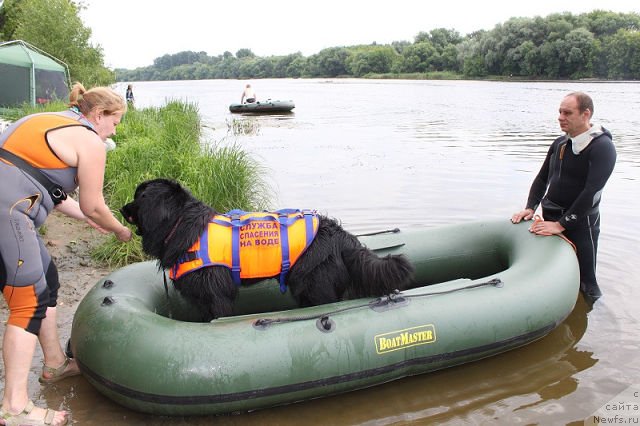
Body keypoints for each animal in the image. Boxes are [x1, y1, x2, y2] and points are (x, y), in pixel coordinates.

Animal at [119, 178, 416, 322]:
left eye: (137, 197)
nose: (121, 209)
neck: (181, 225)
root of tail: (343, 236)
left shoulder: (216, 295)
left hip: (315, 285)